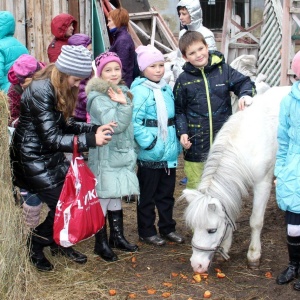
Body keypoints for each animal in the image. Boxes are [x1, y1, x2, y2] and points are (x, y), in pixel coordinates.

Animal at [182, 85, 292, 274]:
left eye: (212, 230)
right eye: (193, 226)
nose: (197, 265)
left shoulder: (262, 183)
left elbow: (256, 221)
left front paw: (253, 256)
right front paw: (225, 247)